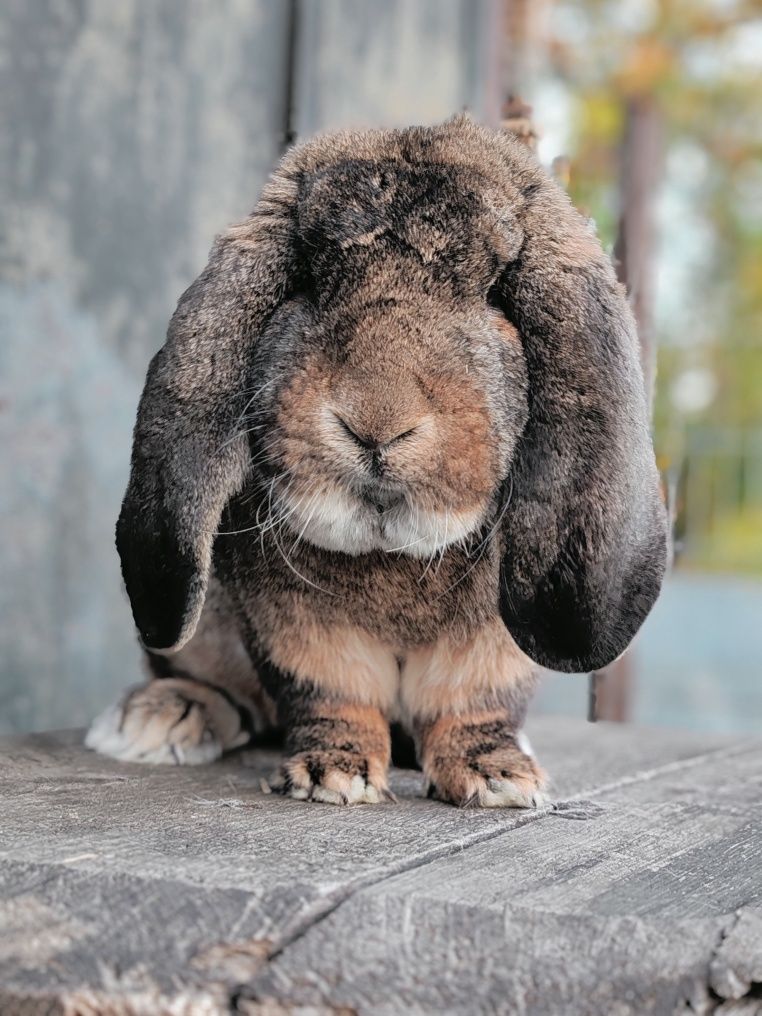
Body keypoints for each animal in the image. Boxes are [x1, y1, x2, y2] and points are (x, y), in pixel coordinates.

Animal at [84, 115, 666, 804]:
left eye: (497, 294)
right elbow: (333, 695)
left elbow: (470, 704)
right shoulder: (294, 625)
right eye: (306, 281)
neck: (393, 556)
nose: (375, 426)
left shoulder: (492, 647)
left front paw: (497, 779)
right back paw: (160, 717)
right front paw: (332, 776)